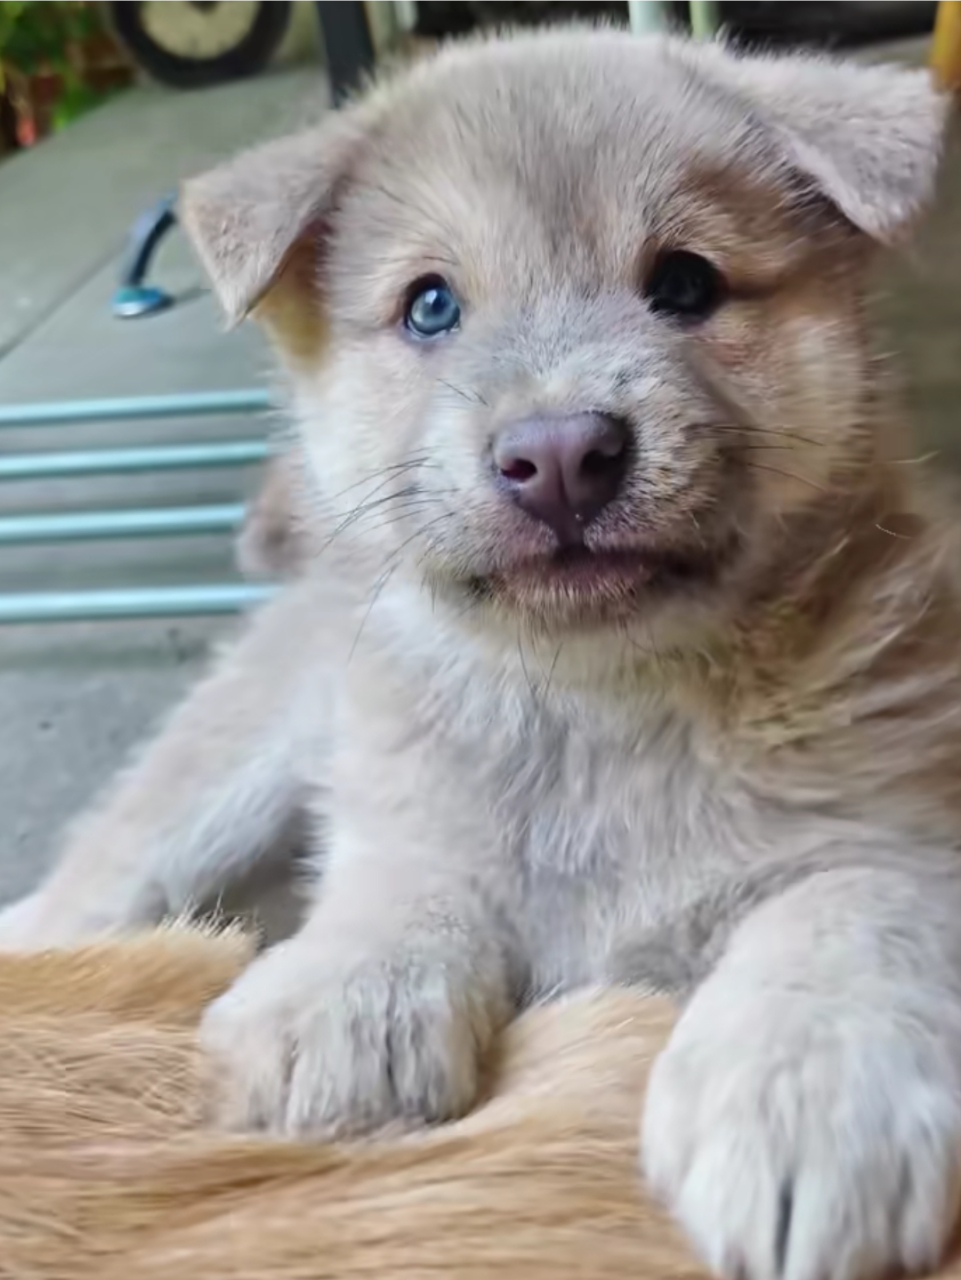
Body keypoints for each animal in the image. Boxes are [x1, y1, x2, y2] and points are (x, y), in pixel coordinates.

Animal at [3, 27, 957, 1280]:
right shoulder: (397, 803)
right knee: (83, 888)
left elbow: (843, 909)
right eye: (429, 305)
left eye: (686, 283)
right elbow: (407, 870)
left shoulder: (902, 816)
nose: (558, 453)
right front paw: (347, 984)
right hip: (205, 797)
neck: (603, 707)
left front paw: (804, 1092)